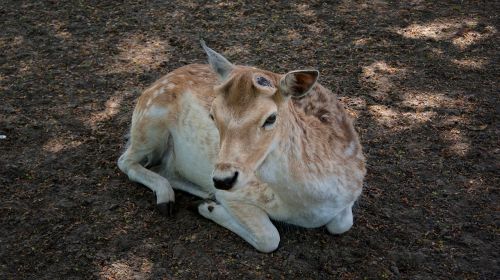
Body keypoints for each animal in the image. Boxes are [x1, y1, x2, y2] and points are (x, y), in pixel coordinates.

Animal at [118, 40, 368, 253]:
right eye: (212, 114)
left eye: (271, 118)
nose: (222, 180)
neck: (309, 207)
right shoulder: (239, 195)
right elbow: (270, 238)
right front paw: (208, 207)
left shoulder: (352, 192)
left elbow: (342, 224)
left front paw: (207, 203)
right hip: (149, 121)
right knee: (125, 160)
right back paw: (169, 198)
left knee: (160, 167)